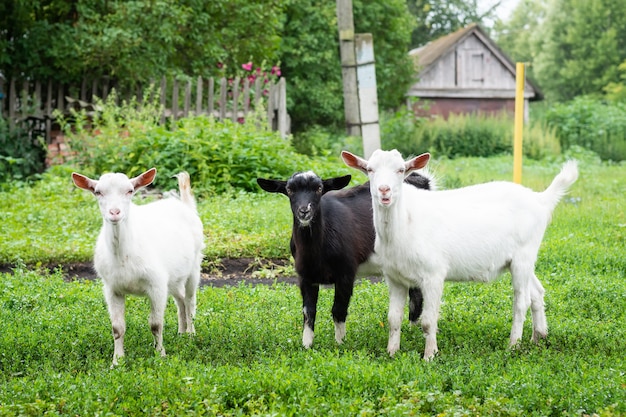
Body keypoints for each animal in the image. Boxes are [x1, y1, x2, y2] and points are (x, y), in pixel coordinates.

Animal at [71, 167, 202, 366]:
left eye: (130, 190)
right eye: (98, 192)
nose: (114, 212)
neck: (124, 256)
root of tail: (185, 205)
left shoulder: (156, 284)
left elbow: (156, 324)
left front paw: (160, 355)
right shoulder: (112, 288)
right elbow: (117, 327)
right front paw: (117, 361)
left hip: (195, 264)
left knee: (189, 300)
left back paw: (191, 334)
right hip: (173, 276)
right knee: (179, 299)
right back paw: (181, 332)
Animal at [256, 170, 432, 348]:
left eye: (319, 188)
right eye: (290, 189)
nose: (304, 211)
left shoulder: (346, 273)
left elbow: (338, 309)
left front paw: (340, 343)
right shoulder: (305, 276)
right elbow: (308, 311)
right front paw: (307, 345)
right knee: (415, 292)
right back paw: (411, 329)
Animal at [342, 149, 576, 358]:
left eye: (401, 170)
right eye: (370, 169)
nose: (384, 190)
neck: (405, 222)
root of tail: (540, 200)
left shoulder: (433, 275)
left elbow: (428, 321)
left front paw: (430, 355)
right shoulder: (394, 278)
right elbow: (393, 318)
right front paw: (392, 352)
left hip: (523, 256)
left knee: (521, 301)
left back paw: (513, 345)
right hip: (519, 260)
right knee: (537, 292)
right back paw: (539, 337)